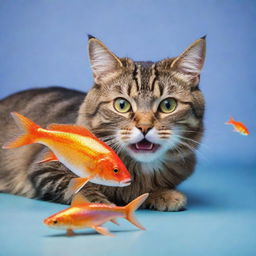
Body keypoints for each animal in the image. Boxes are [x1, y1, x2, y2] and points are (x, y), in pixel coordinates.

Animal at [0, 36, 206, 212]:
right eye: (122, 105)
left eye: (168, 105)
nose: (145, 127)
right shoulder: (45, 168)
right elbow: (79, 188)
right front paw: (98, 205)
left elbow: (148, 190)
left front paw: (165, 194)